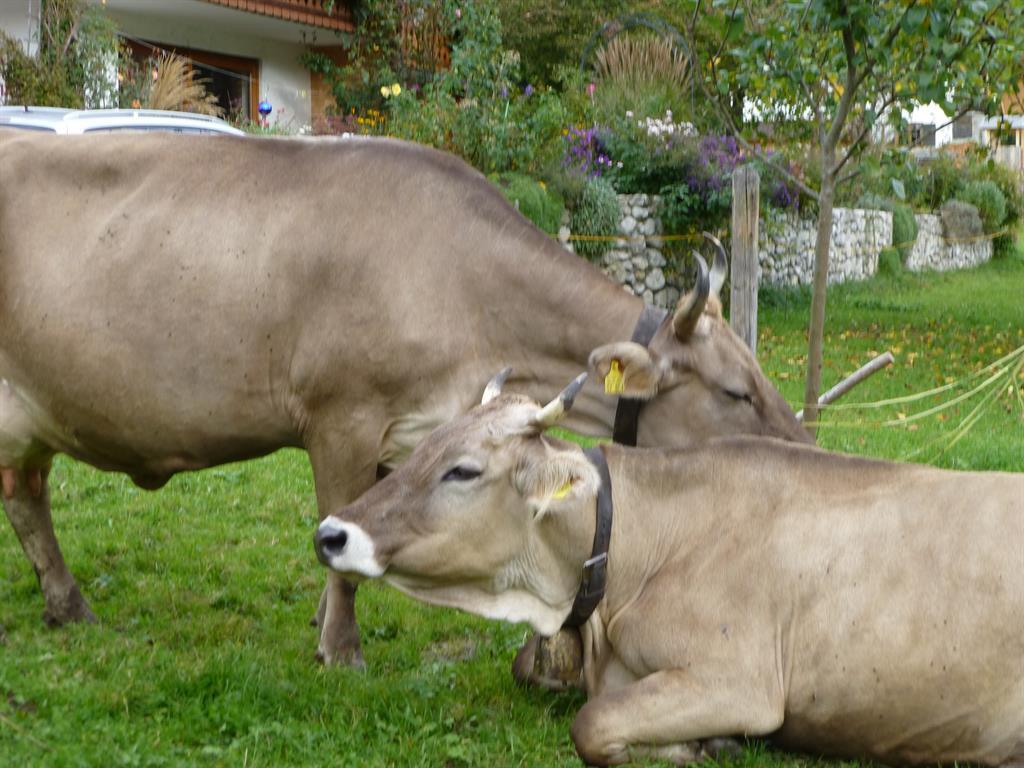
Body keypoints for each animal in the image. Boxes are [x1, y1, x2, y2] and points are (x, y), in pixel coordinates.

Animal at [0, 130, 810, 666]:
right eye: (737, 389)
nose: (805, 448)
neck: (466, 289)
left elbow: (360, 527)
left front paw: (323, 625)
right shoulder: (342, 416)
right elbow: (338, 535)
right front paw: (341, 650)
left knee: (27, 493)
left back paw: (66, 607)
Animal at [314, 374, 1024, 766]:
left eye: (462, 470)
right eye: (421, 449)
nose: (330, 533)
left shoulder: (740, 679)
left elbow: (591, 725)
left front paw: (705, 746)